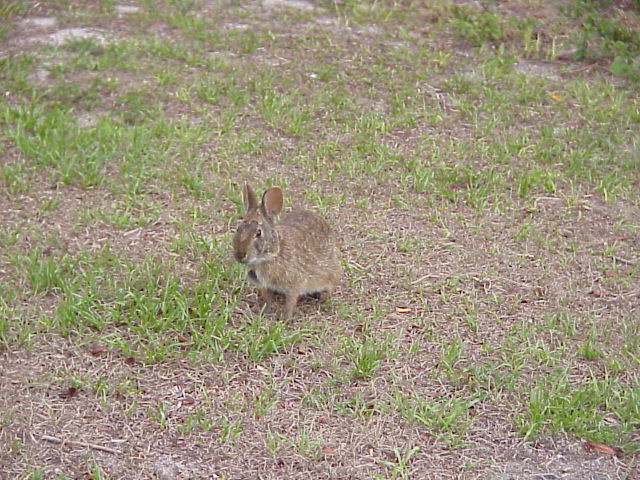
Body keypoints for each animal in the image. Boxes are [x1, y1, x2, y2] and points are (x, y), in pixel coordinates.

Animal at [233, 183, 342, 319]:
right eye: (238, 228)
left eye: (258, 233)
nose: (240, 255)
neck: (274, 254)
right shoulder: (265, 285)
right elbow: (267, 298)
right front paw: (263, 310)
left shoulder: (294, 284)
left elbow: (290, 302)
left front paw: (285, 319)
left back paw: (323, 295)